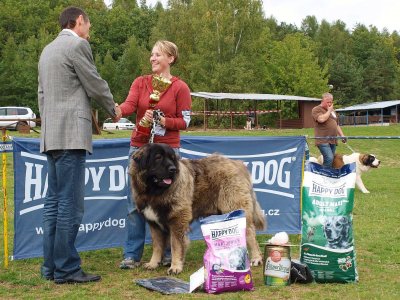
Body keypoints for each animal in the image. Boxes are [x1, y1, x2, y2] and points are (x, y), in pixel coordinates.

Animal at [130, 143, 266, 274]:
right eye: (158, 157)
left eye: (172, 159)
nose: (173, 169)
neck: (154, 192)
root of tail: (238, 163)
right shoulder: (154, 223)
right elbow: (157, 245)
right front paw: (153, 263)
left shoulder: (177, 220)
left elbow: (176, 245)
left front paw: (175, 267)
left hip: (234, 208)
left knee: (250, 233)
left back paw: (256, 258)